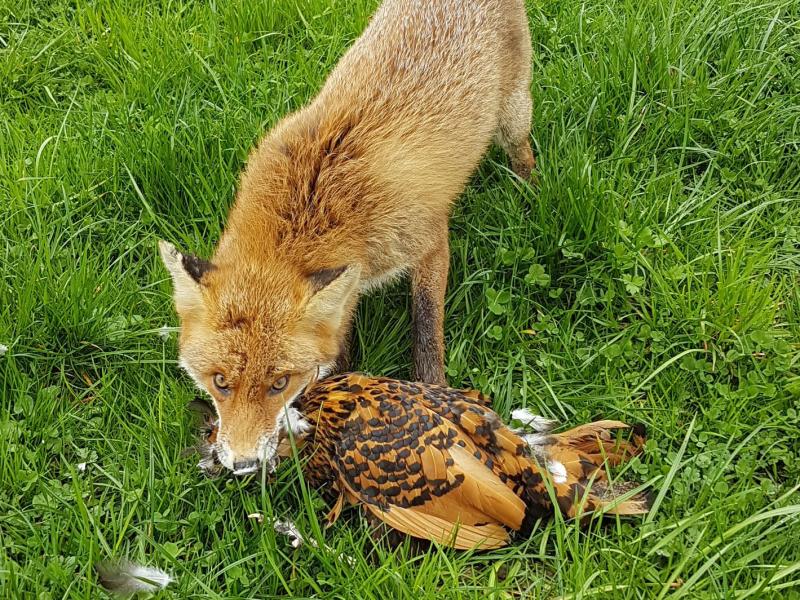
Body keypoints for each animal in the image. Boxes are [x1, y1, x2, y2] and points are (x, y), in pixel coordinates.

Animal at [160, 0, 535, 475]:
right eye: (220, 381)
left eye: (280, 382)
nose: (244, 464)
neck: (317, 204)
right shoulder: (350, 283)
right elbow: (340, 343)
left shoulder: (429, 240)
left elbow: (426, 333)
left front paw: (438, 397)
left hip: (513, 117)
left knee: (524, 154)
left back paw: (529, 196)